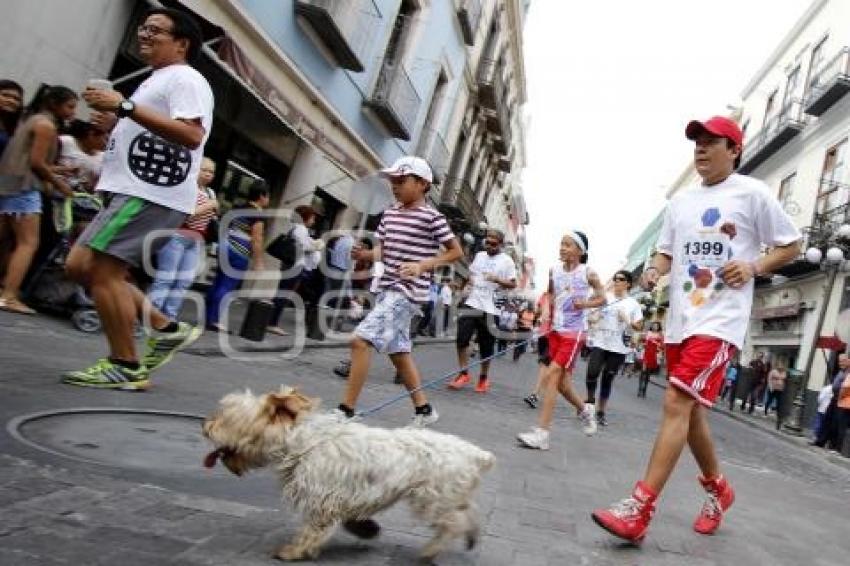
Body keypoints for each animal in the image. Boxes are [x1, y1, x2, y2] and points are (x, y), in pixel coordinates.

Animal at [203, 388, 494, 560]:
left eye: (228, 416)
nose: (205, 426)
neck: (302, 442)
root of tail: (475, 454)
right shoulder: (343, 498)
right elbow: (349, 519)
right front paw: (366, 529)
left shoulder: (322, 499)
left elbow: (312, 528)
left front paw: (293, 551)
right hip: (446, 496)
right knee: (467, 513)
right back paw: (470, 537)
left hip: (431, 499)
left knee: (453, 524)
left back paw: (432, 550)